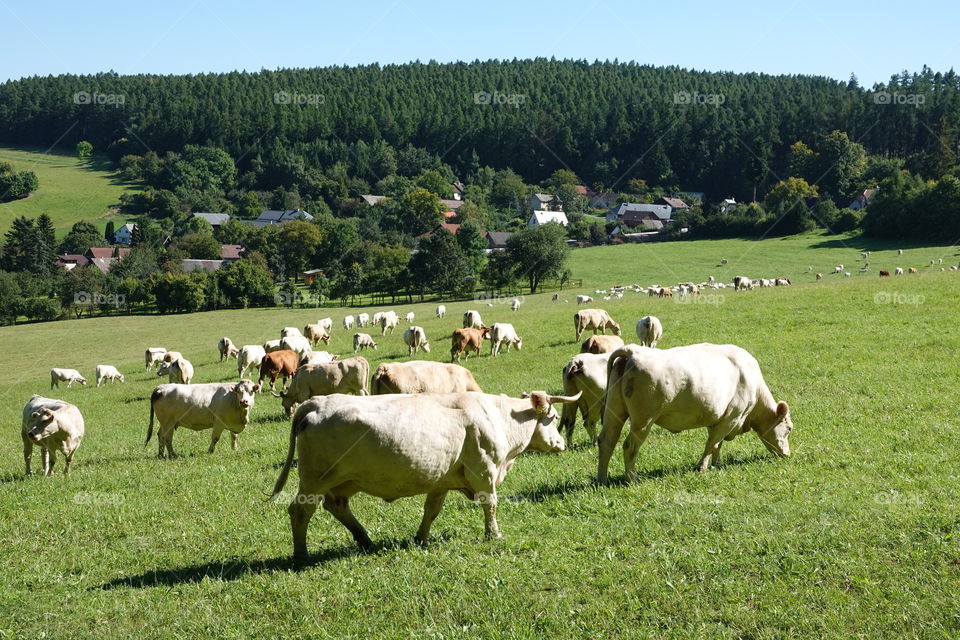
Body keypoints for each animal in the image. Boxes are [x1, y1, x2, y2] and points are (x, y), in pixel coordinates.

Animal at [270, 389, 580, 559]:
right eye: (553, 417)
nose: (561, 444)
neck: (499, 417)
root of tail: (317, 402)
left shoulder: (441, 479)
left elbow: (431, 510)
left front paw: (421, 538)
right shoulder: (485, 471)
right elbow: (490, 504)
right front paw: (494, 534)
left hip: (343, 482)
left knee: (337, 506)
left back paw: (365, 539)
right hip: (315, 479)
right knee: (300, 511)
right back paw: (301, 553)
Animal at [597, 344, 793, 483]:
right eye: (789, 428)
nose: (788, 454)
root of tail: (632, 351)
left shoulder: (718, 419)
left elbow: (717, 445)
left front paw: (717, 464)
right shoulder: (731, 417)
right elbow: (711, 444)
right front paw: (702, 468)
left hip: (614, 413)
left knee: (607, 441)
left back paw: (602, 479)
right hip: (643, 421)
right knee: (629, 446)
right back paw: (631, 479)